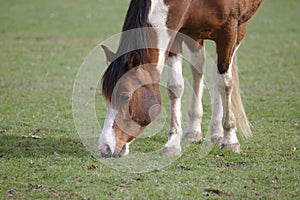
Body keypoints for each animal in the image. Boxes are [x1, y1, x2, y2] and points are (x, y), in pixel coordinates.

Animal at [99, 0, 262, 157]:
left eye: (126, 96)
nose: (105, 148)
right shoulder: (176, 34)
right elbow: (175, 87)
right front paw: (173, 143)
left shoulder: (229, 32)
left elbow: (225, 84)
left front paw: (230, 140)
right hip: (195, 35)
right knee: (199, 68)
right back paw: (195, 131)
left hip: (237, 31)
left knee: (219, 77)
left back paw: (218, 132)